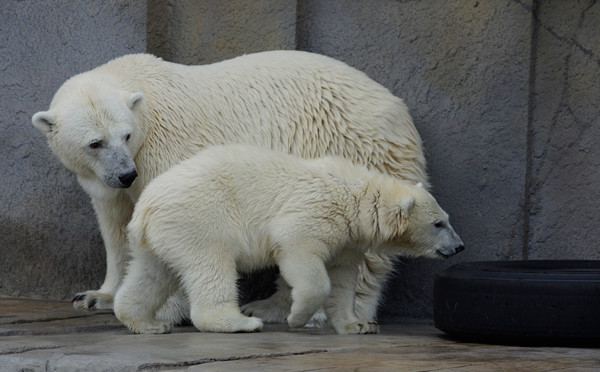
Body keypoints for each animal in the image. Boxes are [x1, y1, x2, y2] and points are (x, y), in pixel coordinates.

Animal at [31, 50, 426, 326]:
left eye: (125, 135)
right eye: (94, 143)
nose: (126, 174)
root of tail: (400, 111)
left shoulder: (164, 151)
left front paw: (167, 310)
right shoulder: (106, 179)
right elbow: (116, 227)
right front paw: (96, 296)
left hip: (356, 148)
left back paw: (333, 312)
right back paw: (269, 307)